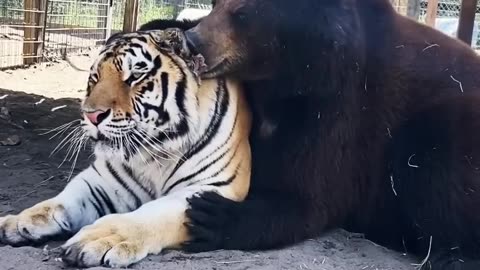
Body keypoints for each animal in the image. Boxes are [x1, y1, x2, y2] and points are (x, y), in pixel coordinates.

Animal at [0, 28, 253, 268]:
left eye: (135, 76)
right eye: (95, 77)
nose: (91, 115)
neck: (156, 152)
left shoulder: (211, 189)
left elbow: (151, 215)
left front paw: (98, 239)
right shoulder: (102, 182)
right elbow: (59, 201)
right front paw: (16, 221)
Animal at [142, 1, 480, 268]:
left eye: (242, 14)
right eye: (216, 4)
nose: (194, 42)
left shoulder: (341, 109)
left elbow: (309, 195)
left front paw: (211, 214)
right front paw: (160, 27)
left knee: (432, 157)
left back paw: (452, 256)